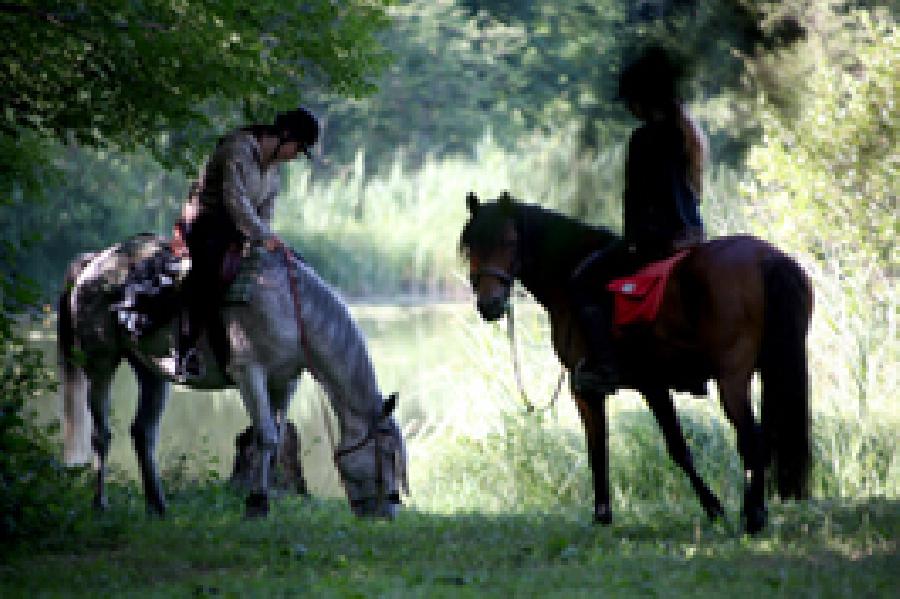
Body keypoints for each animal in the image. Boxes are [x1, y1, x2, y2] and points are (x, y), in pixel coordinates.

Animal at [58, 234, 406, 520]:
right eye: (388, 453)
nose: (389, 512)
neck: (291, 309)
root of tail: (95, 261)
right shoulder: (249, 375)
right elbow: (265, 437)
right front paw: (257, 505)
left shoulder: (285, 382)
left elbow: (277, 437)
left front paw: (261, 499)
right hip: (101, 362)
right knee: (101, 434)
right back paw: (100, 504)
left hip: (151, 372)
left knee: (144, 433)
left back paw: (157, 506)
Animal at [460, 192, 812, 536]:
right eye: (470, 247)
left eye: (509, 241)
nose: (490, 305)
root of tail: (765, 257)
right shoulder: (653, 385)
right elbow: (678, 448)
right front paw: (714, 509)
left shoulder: (590, 391)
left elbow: (600, 449)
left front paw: (602, 516)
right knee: (763, 437)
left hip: (732, 380)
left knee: (751, 439)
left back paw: (753, 518)